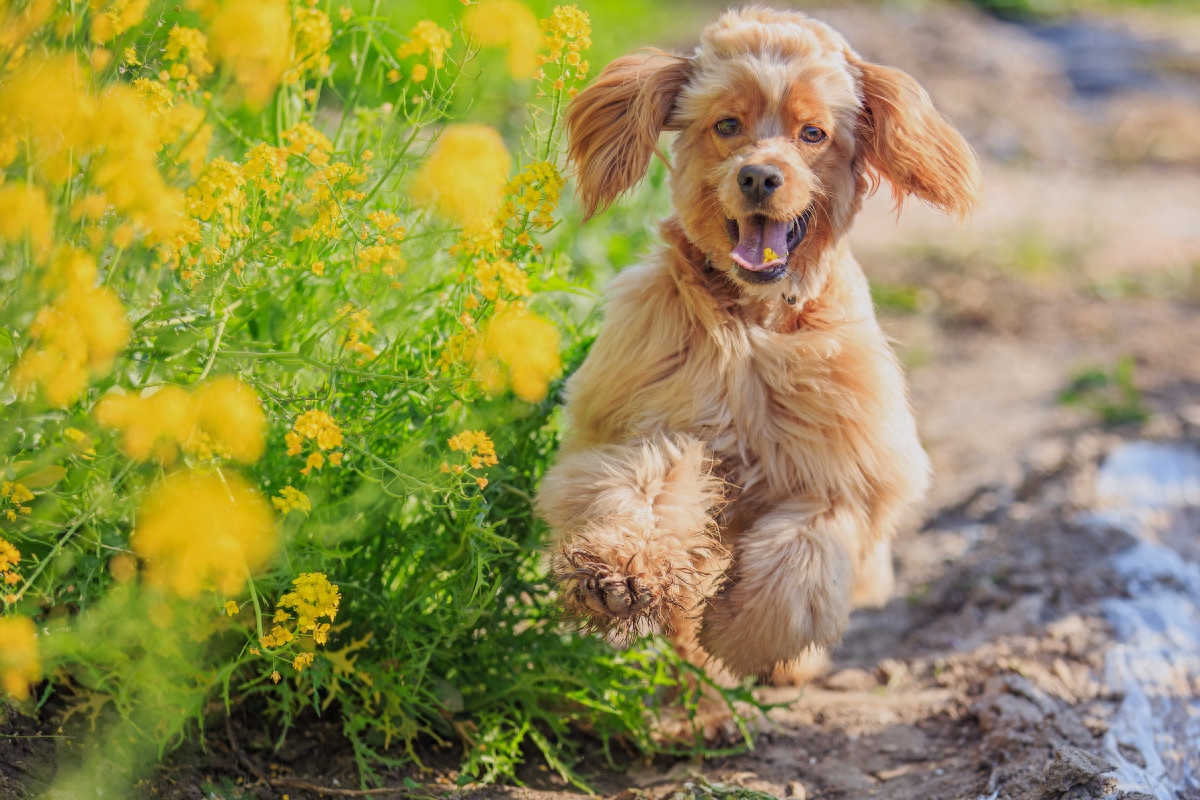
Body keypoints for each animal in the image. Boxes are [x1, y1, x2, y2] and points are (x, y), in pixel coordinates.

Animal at [537, 6, 984, 681]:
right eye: (728, 124)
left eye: (813, 133)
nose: (759, 175)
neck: (754, 322)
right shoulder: (646, 423)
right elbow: (646, 480)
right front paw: (620, 572)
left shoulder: (842, 475)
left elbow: (800, 557)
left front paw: (741, 636)